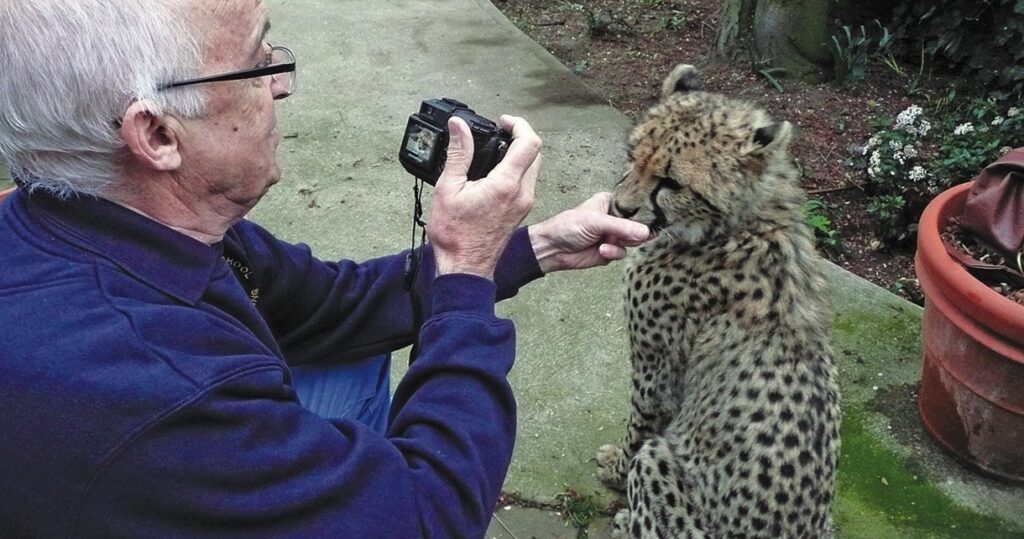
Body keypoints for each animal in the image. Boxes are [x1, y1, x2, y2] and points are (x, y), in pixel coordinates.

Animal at [595, 64, 840, 539]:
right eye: (634, 155)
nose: (620, 207)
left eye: (672, 182)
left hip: (658, 466)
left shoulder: (656, 368)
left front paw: (615, 468)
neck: (744, 221)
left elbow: (640, 426)